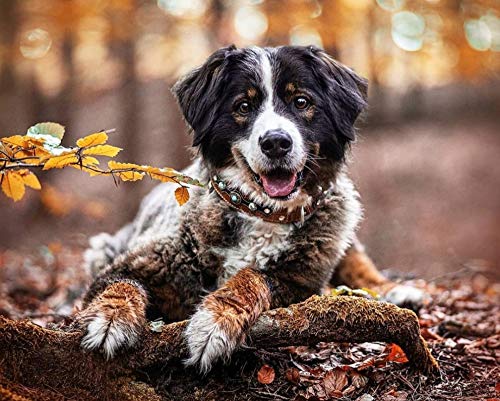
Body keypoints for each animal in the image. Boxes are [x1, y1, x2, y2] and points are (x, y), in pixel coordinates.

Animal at [80, 44, 424, 372]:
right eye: (243, 107)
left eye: (301, 101)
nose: (276, 142)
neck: (262, 212)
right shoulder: (136, 264)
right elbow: (122, 283)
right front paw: (109, 319)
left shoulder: (299, 284)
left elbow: (253, 276)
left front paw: (216, 322)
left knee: (359, 266)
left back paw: (397, 291)